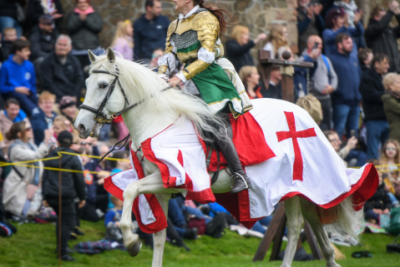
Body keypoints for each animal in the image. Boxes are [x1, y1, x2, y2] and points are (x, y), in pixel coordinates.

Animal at [74, 48, 360, 267]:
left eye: (102, 85)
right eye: (86, 84)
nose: (80, 126)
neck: (159, 121)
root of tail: (302, 114)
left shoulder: (174, 178)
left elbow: (130, 190)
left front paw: (132, 242)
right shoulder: (163, 187)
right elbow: (160, 235)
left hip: (293, 185)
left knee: (298, 224)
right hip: (298, 188)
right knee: (312, 218)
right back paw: (330, 258)